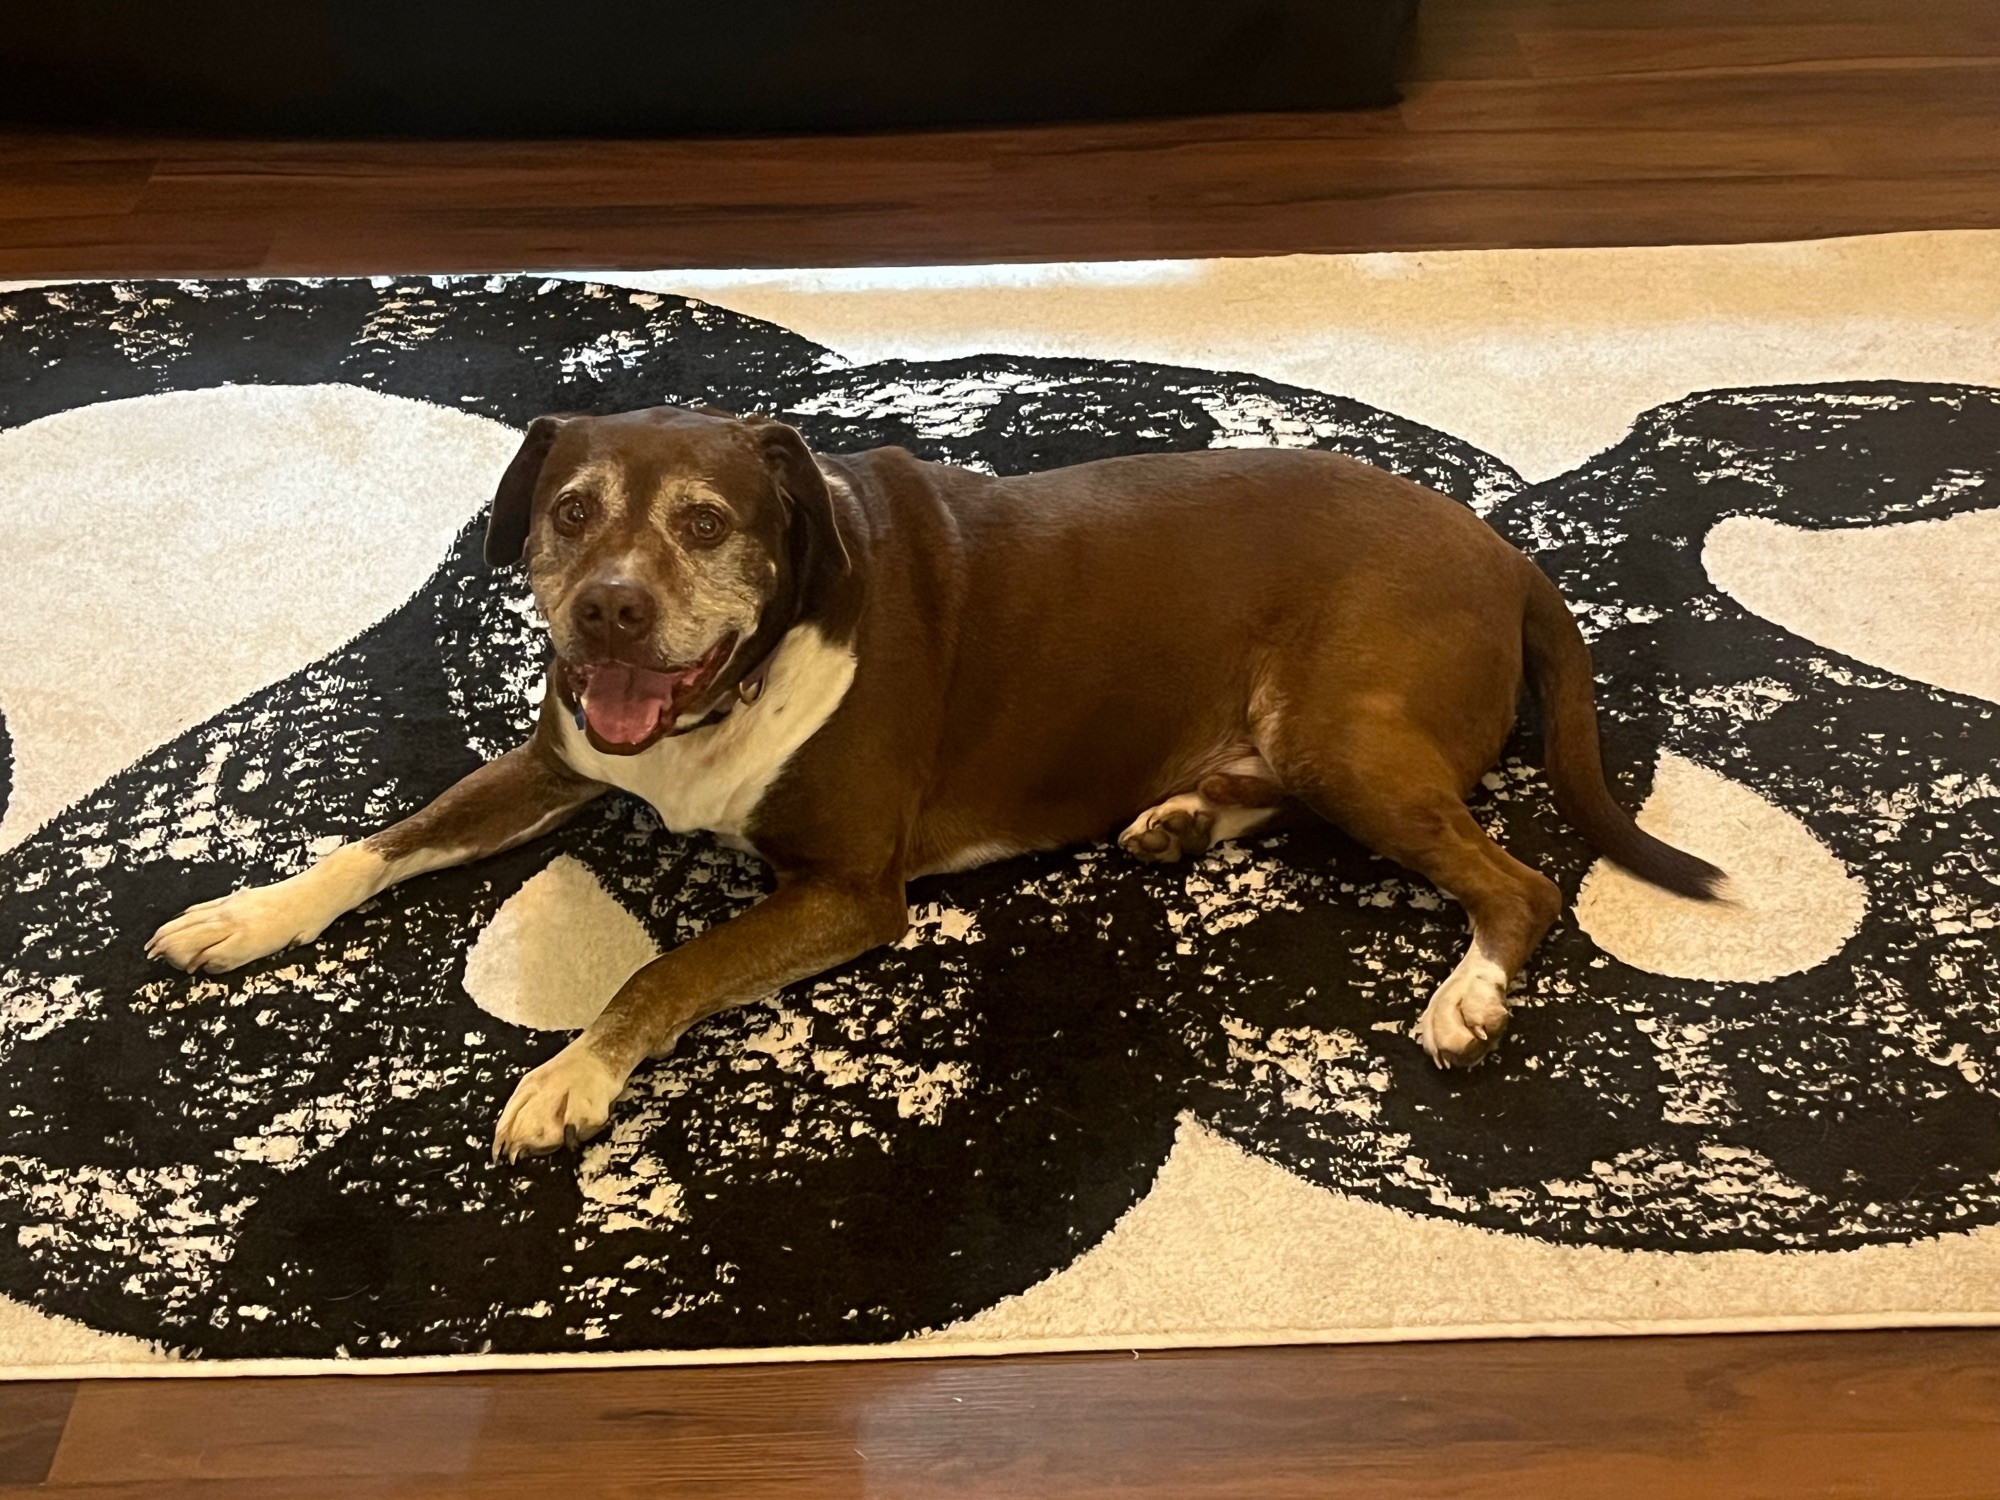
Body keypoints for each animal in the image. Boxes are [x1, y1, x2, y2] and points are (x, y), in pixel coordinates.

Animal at [152, 408, 1720, 1160]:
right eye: (569, 514)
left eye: (705, 524)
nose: (604, 609)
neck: (740, 677)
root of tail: (1502, 549)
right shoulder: (554, 760)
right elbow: (380, 841)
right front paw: (245, 915)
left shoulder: (850, 891)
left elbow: (663, 972)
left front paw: (569, 1076)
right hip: (1322, 748)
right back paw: (1182, 813)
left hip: (1352, 729)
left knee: (1517, 879)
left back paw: (1465, 997)